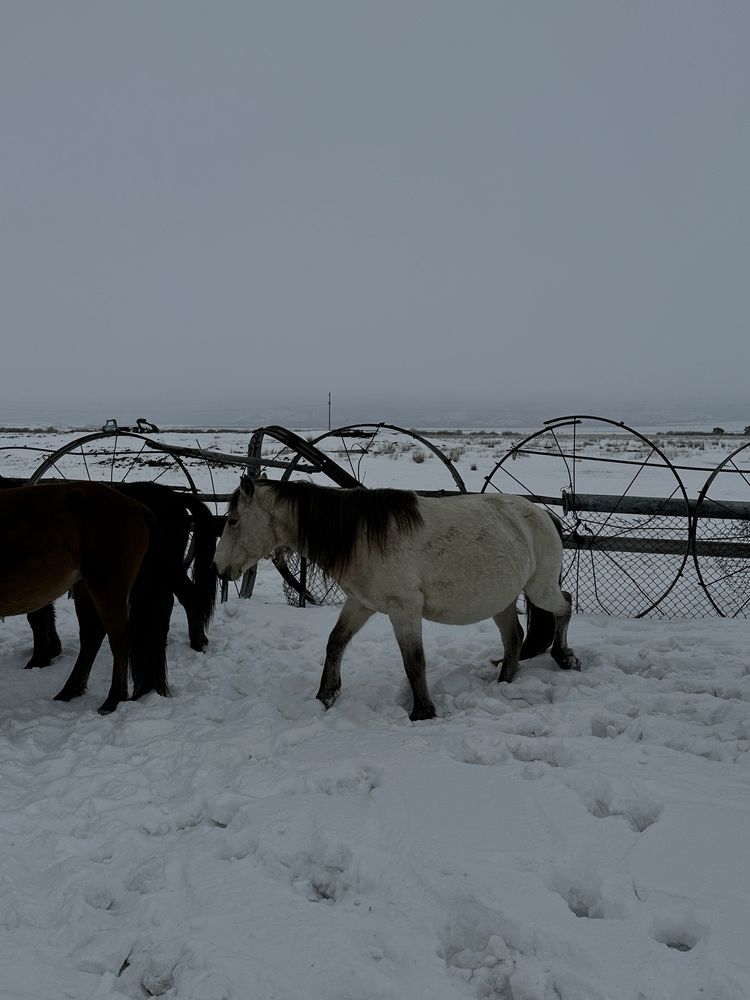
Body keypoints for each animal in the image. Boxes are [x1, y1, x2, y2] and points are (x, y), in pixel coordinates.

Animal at [0, 480, 219, 668]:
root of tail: (177, 497)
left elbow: (37, 618)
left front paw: (39, 660)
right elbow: (45, 615)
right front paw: (52, 650)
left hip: (165, 566)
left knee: (191, 598)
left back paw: (197, 643)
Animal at [0, 482, 172, 712]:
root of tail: (135, 506)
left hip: (107, 588)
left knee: (119, 641)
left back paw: (113, 701)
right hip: (84, 587)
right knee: (91, 636)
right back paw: (70, 691)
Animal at [214, 476, 580, 720]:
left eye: (232, 520)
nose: (219, 569)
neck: (362, 537)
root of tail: (543, 515)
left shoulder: (404, 608)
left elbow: (413, 661)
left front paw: (423, 712)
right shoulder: (361, 604)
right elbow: (336, 643)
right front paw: (326, 696)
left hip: (539, 588)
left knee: (564, 603)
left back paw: (565, 658)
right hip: (500, 598)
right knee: (514, 637)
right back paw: (504, 681)